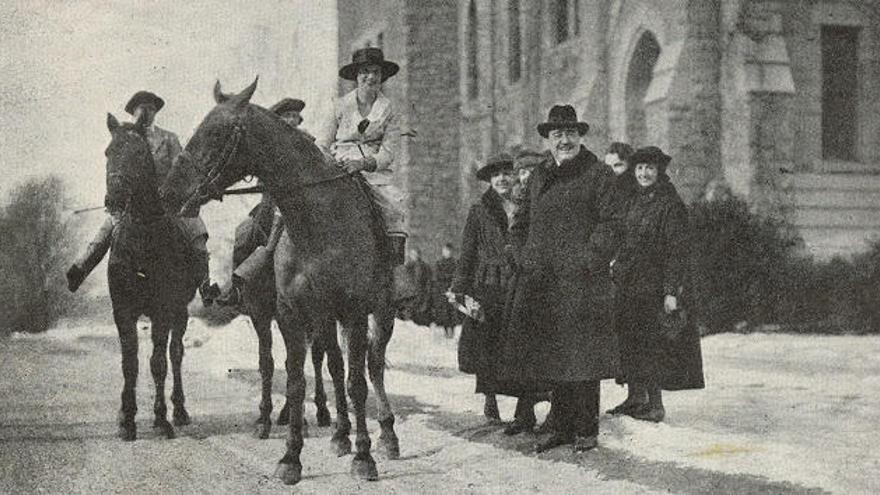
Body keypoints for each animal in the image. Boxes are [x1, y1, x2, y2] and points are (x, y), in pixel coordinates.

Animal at [102, 113, 198, 442]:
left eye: (139, 153)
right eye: (108, 152)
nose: (114, 197)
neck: (142, 236)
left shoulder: (162, 310)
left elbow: (158, 363)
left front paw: (161, 419)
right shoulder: (122, 311)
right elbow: (129, 363)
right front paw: (127, 419)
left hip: (180, 312)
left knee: (176, 354)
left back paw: (179, 411)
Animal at [161, 79, 398, 486]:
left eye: (216, 132)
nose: (169, 192)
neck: (320, 224)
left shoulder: (353, 311)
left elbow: (357, 382)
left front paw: (365, 457)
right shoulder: (291, 313)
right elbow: (294, 378)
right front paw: (291, 457)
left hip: (380, 312)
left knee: (374, 364)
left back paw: (386, 435)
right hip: (322, 318)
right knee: (333, 366)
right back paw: (339, 434)